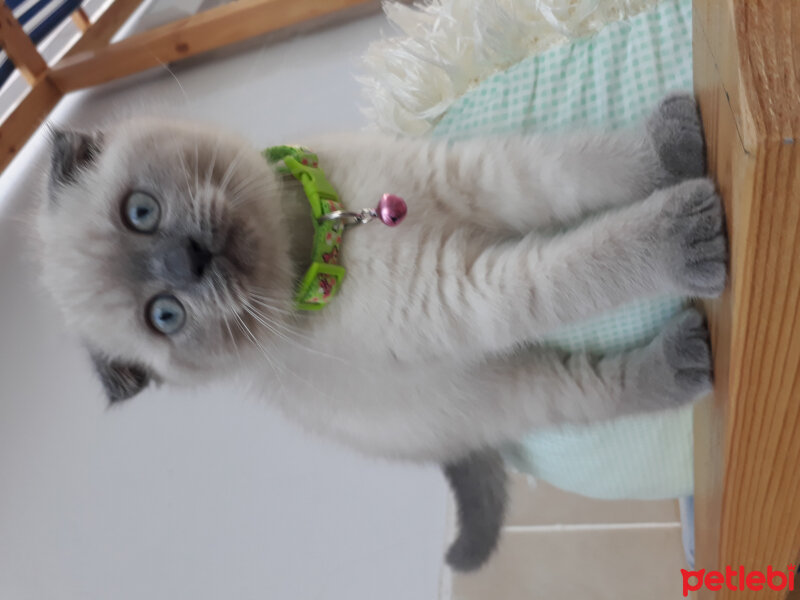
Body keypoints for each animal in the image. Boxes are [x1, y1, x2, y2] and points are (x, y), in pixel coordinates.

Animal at [36, 95, 724, 572]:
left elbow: (576, 169)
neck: (329, 230)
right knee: (588, 388)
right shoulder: (472, 291)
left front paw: (673, 145)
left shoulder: (473, 176)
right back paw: (682, 359)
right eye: (165, 316)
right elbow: (587, 263)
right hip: (503, 390)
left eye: (140, 212)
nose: (188, 261)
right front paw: (685, 233)